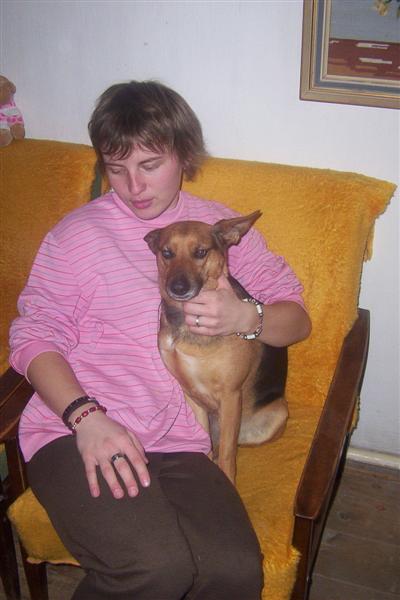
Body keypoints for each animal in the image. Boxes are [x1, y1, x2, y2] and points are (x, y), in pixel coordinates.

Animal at [144, 211, 288, 483]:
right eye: (167, 253)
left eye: (201, 252)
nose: (177, 288)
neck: (188, 322)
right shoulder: (192, 395)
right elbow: (206, 445)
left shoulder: (231, 395)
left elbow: (227, 456)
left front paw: (228, 481)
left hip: (277, 414)